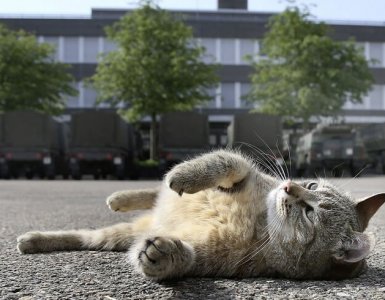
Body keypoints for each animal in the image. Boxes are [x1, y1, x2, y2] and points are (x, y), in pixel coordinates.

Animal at [16, 150, 384, 282]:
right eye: (311, 184)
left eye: (310, 213)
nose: (290, 185)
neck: (261, 220)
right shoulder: (249, 172)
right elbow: (224, 161)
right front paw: (184, 175)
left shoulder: (212, 258)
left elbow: (187, 258)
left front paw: (164, 254)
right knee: (153, 193)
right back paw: (120, 196)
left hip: (116, 236)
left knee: (85, 236)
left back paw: (33, 240)